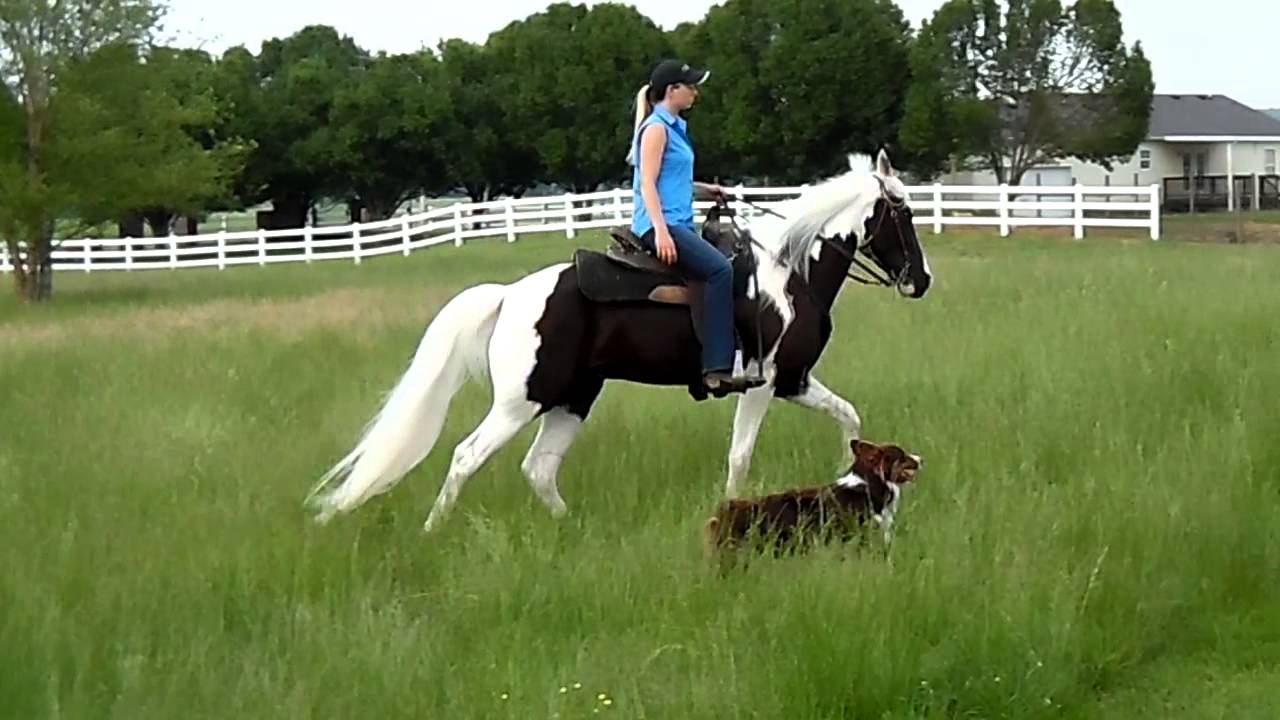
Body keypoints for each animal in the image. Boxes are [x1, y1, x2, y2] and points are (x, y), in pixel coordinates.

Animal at [306, 148, 933, 532]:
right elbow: (740, 455)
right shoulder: (762, 385)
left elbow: (849, 417)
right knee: (466, 457)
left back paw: (569, 527)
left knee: (539, 468)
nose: (921, 280)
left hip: (575, 397)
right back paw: (434, 530)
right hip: (522, 401)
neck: (788, 273)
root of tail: (509, 296)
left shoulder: (795, 381)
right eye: (901, 212)